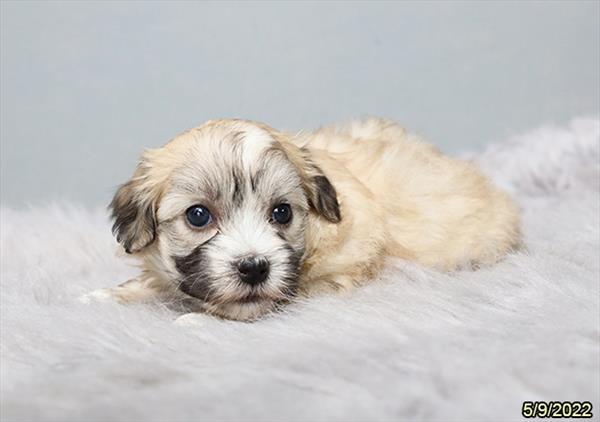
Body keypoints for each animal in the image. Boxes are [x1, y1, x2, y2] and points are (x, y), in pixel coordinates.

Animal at [88, 118, 520, 320]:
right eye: (198, 216)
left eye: (282, 212)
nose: (254, 268)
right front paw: (107, 295)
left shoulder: (339, 275)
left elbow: (271, 304)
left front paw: (199, 322)